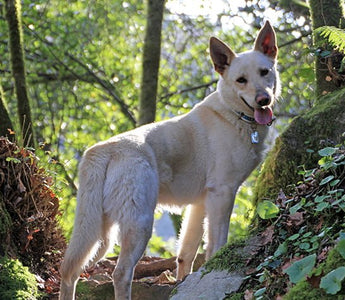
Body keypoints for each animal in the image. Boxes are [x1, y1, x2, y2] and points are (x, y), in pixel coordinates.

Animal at [59, 21, 280, 300]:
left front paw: (183, 282)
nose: (264, 100)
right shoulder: (223, 193)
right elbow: (216, 245)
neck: (234, 115)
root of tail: (104, 150)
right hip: (139, 224)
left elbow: (186, 254)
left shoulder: (200, 204)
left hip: (98, 232)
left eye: (264, 72)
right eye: (241, 80)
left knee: (69, 270)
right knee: (120, 273)